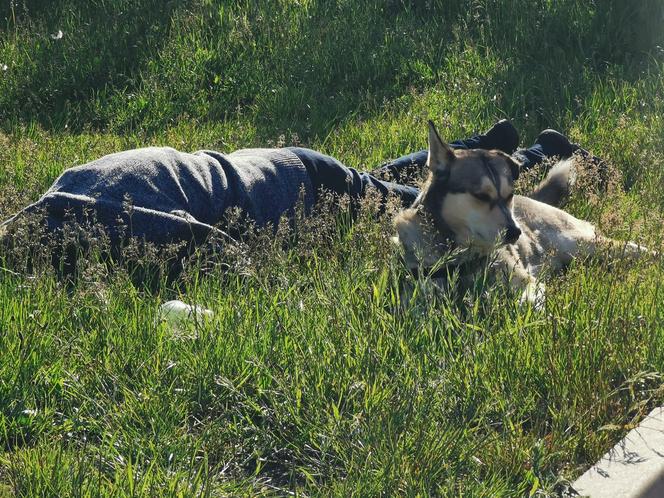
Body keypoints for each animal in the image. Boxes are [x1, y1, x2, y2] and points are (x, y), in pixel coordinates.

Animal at [392, 121, 652, 308]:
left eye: (509, 195)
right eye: (481, 196)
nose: (515, 233)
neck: (456, 253)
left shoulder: (527, 282)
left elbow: (528, 300)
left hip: (581, 242)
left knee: (638, 249)